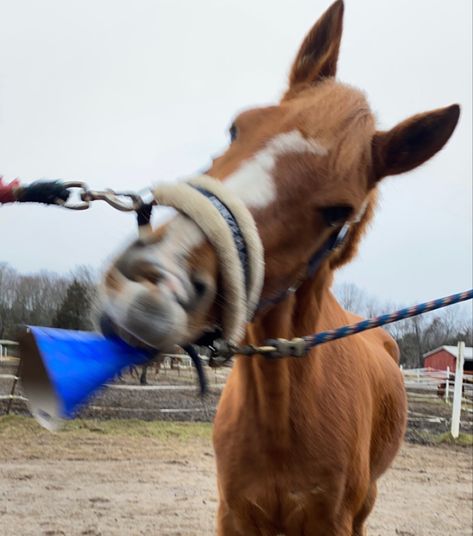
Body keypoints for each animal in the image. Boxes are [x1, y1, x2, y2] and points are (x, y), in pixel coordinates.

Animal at [98, 2, 458, 532]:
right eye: (237, 127)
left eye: (339, 211)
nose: (152, 284)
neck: (280, 415)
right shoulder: (234, 514)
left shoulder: (333, 521)